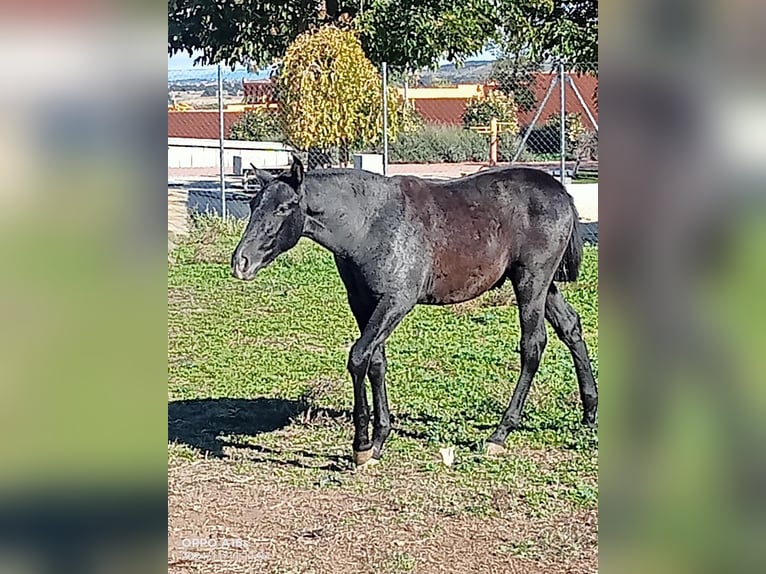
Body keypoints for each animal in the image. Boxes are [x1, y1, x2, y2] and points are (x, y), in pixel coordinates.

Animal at [232, 156, 600, 468]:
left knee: (533, 345)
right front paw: (379, 439)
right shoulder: (363, 303)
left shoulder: (397, 301)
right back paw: (589, 413)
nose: (241, 262)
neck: (369, 224)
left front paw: (361, 446)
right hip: (544, 285)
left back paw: (500, 433)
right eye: (252, 204)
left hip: (531, 282)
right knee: (570, 327)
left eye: (285, 207)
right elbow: (376, 361)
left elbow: (358, 356)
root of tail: (561, 192)